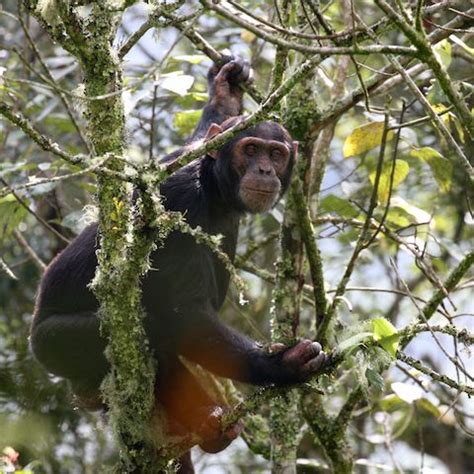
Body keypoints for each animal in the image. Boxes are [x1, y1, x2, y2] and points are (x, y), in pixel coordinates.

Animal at [29, 57, 326, 468]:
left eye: (276, 154)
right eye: (251, 149)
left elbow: (208, 128)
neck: (212, 188)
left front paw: (225, 86)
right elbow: (188, 313)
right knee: (153, 330)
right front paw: (283, 365)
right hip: (54, 343)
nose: (265, 170)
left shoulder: (196, 153)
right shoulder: (177, 199)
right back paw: (205, 422)